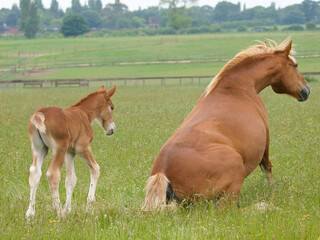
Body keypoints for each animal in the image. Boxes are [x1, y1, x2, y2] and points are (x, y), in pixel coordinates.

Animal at [26, 86, 116, 219]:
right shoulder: (82, 148)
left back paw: (30, 213)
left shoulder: (70, 153)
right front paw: (89, 207)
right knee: (53, 174)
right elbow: (95, 169)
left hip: (40, 149)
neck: (84, 113)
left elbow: (71, 180)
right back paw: (59, 213)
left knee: (35, 173)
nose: (112, 129)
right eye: (111, 107)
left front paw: (68, 209)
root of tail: (39, 114)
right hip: (59, 149)